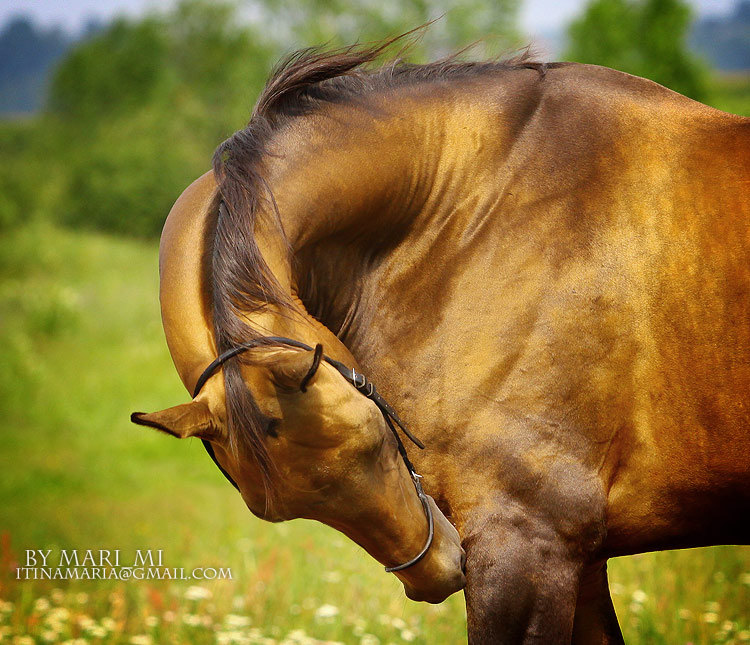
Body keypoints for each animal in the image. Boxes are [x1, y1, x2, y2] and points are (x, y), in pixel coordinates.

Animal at [131, 35, 750, 644]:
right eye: (275, 507)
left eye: (374, 440)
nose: (436, 571)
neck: (468, 215)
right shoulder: (580, 557)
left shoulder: (527, 541)